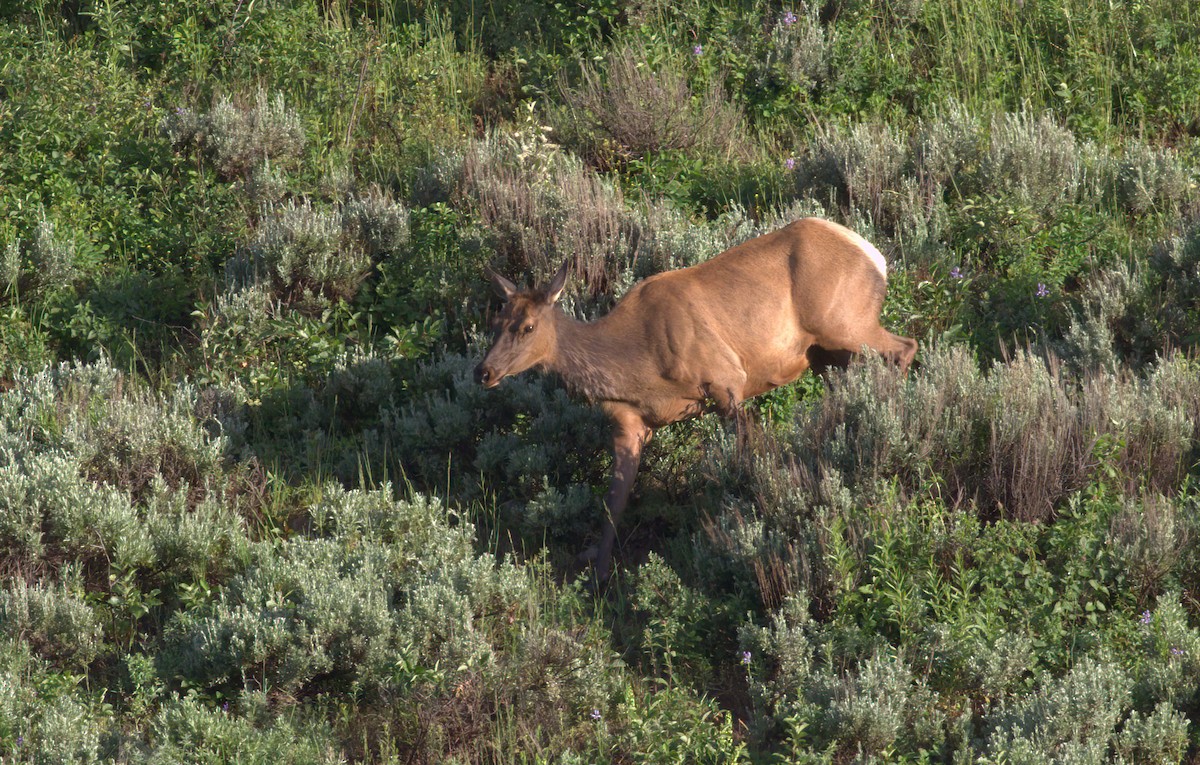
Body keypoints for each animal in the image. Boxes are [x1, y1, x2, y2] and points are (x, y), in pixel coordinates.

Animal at [475, 217, 916, 581]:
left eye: (528, 326)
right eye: (496, 320)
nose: (484, 371)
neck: (636, 367)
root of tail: (876, 256)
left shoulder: (725, 377)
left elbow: (746, 453)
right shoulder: (631, 423)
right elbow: (615, 500)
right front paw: (599, 575)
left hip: (845, 323)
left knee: (905, 347)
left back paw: (890, 422)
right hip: (825, 353)